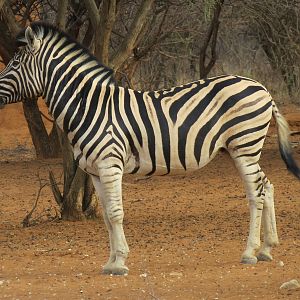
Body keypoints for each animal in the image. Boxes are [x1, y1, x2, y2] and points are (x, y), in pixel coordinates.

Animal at [0, 22, 298, 276]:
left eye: (14, 63)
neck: (90, 107)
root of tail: (262, 88)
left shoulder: (110, 164)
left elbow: (116, 213)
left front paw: (120, 262)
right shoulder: (95, 171)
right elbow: (106, 216)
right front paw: (110, 262)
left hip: (244, 146)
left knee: (256, 194)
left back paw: (249, 252)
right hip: (243, 149)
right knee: (267, 186)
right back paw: (267, 248)